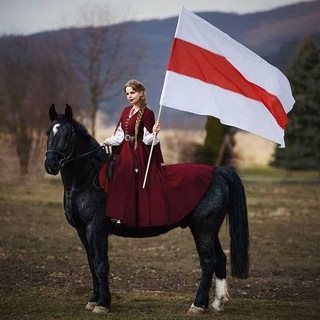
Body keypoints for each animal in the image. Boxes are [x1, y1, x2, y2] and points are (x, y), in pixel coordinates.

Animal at [44, 105, 250, 316]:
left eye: (67, 133)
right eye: (48, 132)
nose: (50, 164)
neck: (88, 180)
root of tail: (218, 171)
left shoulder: (96, 229)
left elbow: (101, 264)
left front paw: (103, 303)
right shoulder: (82, 231)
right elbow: (92, 263)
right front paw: (94, 299)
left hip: (203, 229)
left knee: (208, 261)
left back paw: (197, 305)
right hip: (210, 229)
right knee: (220, 258)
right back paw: (217, 303)